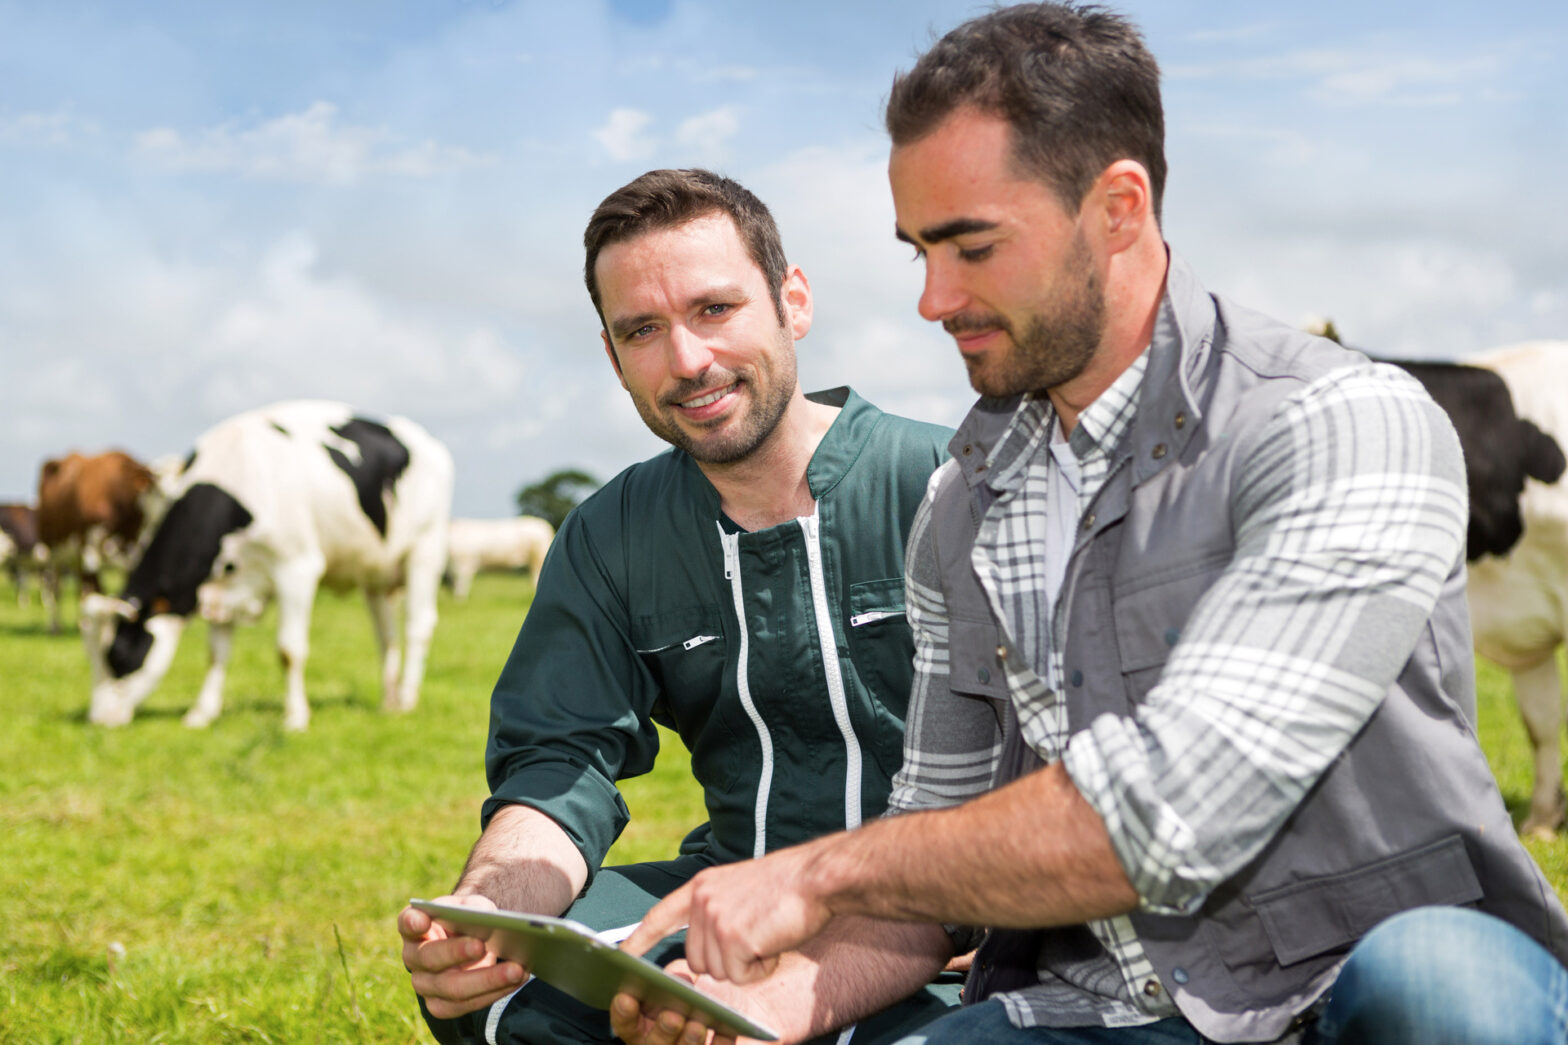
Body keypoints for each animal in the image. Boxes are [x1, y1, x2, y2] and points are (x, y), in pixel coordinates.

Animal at [38, 445, 159, 627]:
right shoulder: (89, 549)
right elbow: (95, 593)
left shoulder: (133, 551)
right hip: (52, 551)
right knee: (55, 587)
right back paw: (55, 626)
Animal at [78, 400, 454, 731]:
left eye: (118, 654)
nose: (98, 720)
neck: (237, 471)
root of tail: (427, 441)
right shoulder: (221, 585)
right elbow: (216, 653)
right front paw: (201, 714)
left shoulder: (297, 568)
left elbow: (289, 650)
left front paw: (295, 718)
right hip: (375, 569)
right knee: (385, 633)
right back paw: (389, 701)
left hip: (425, 548)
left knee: (418, 626)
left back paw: (407, 699)